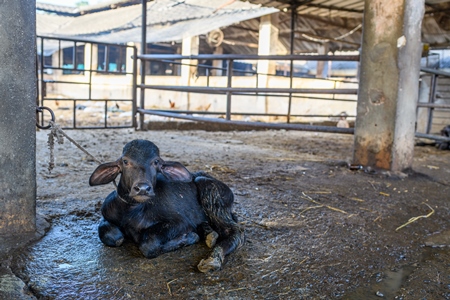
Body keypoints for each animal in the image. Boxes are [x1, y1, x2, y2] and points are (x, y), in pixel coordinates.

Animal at [89, 139, 244, 270]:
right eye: (125, 161)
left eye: (156, 162)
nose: (143, 189)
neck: (131, 211)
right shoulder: (106, 214)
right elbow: (112, 236)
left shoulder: (179, 222)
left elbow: (148, 244)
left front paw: (189, 237)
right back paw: (209, 234)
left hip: (209, 189)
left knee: (236, 231)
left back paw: (213, 259)